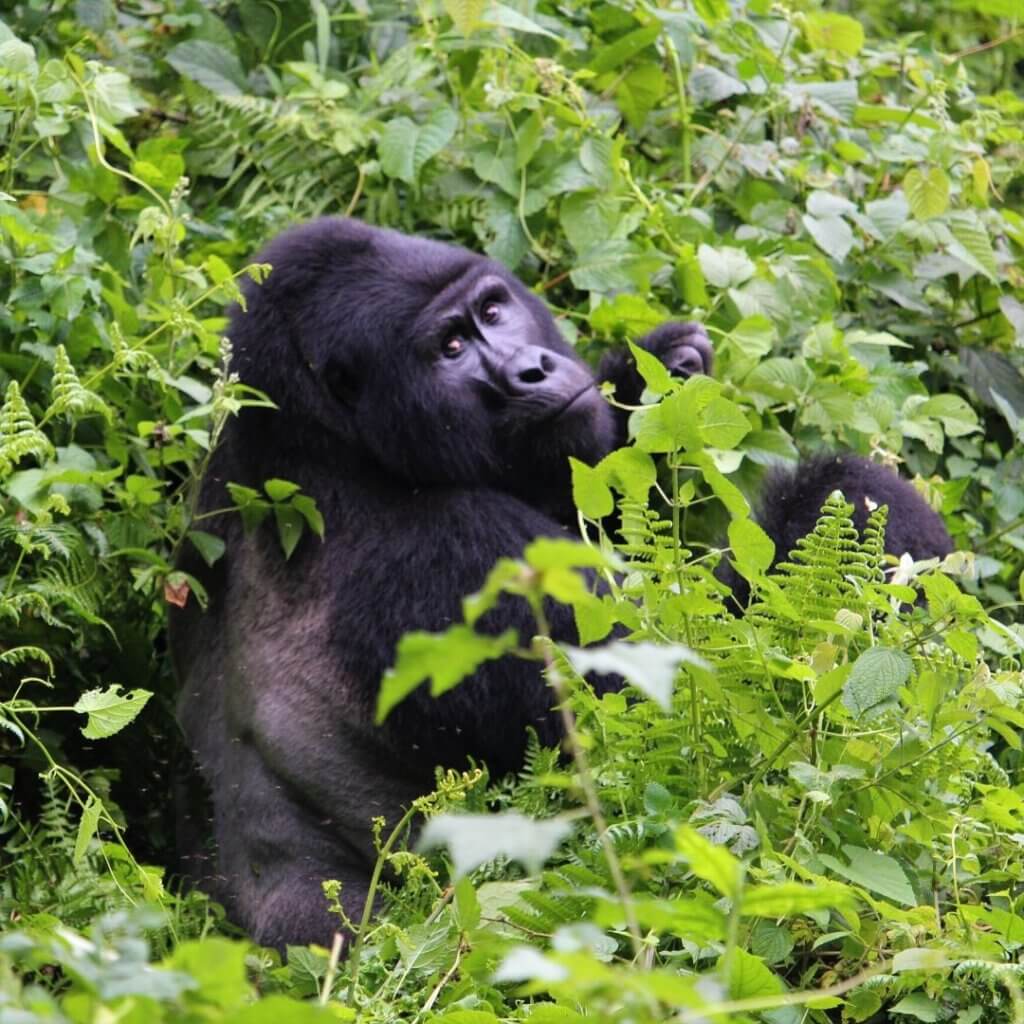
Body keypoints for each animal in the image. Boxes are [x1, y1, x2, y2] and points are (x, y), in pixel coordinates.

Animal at [174, 218, 950, 950]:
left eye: (492, 311)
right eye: (449, 348)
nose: (529, 369)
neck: (330, 450)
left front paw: (652, 372)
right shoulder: (457, 559)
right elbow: (700, 719)